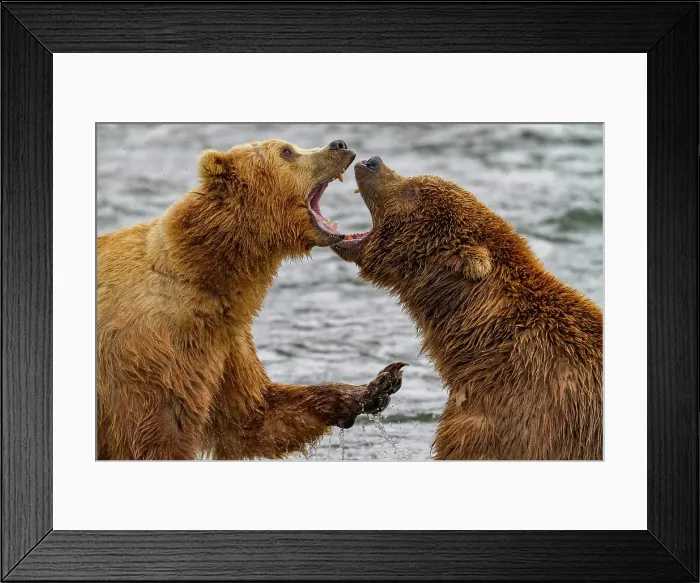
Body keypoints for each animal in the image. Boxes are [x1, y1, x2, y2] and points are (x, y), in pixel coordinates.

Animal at [97, 140, 406, 460]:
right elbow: (156, 437)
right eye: (287, 151)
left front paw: (376, 386)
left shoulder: (225, 340)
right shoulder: (150, 349)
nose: (339, 144)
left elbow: (253, 415)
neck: (205, 272)